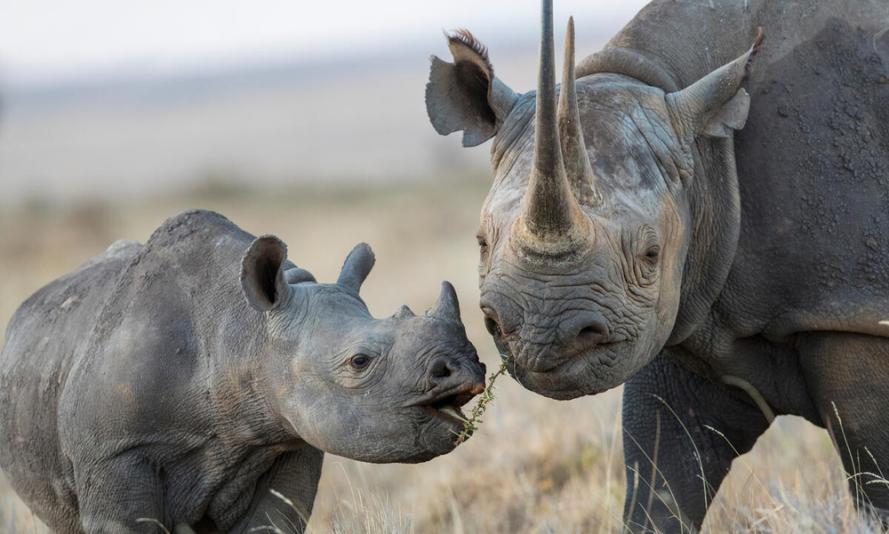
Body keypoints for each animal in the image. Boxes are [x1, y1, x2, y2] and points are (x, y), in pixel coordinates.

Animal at [424, 0, 888, 532]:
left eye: (650, 253)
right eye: (481, 242)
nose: (542, 335)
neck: (708, 155)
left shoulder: (850, 309)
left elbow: (875, 479)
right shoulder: (683, 313)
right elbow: (660, 476)